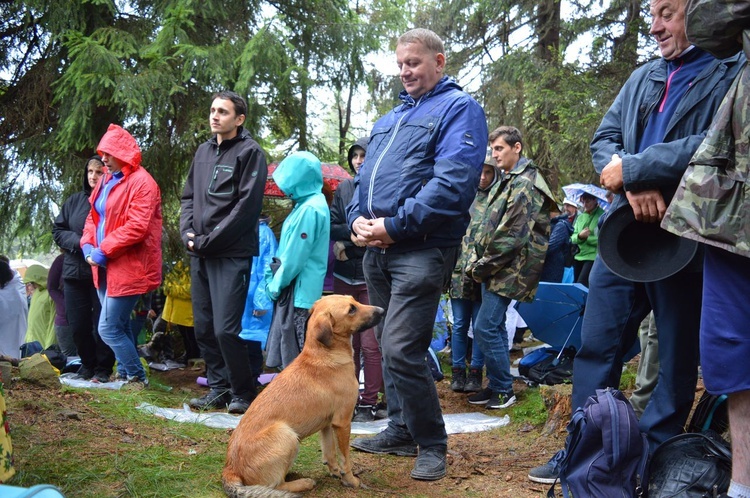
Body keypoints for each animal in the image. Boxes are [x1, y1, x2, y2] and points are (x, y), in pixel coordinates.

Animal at [220, 294, 384, 496]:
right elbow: (345, 458)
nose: (382, 310)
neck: (324, 353)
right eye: (351, 309)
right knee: (275, 485)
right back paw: (303, 483)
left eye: (354, 300)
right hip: (287, 435)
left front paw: (335, 472)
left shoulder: (327, 424)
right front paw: (350, 480)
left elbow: (330, 453)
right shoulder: (343, 421)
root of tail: (230, 470)